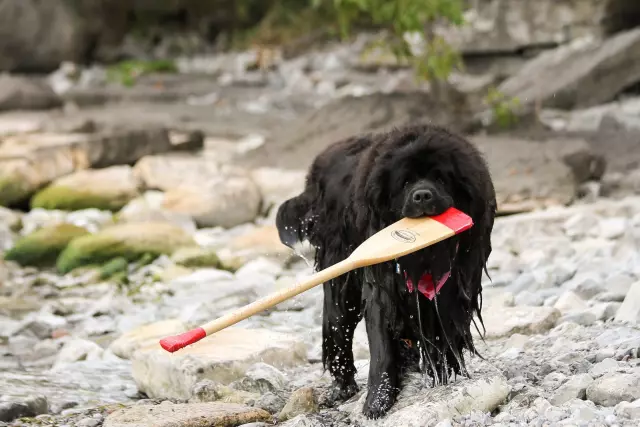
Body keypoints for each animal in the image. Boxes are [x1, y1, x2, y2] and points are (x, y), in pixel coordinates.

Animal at [276, 123, 496, 422]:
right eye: (404, 183)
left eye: (440, 178)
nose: (422, 195)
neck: (425, 254)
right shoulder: (382, 286)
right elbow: (382, 344)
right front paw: (377, 402)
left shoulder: (453, 288)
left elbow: (441, 336)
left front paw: (438, 379)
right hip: (340, 277)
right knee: (338, 326)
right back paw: (343, 387)